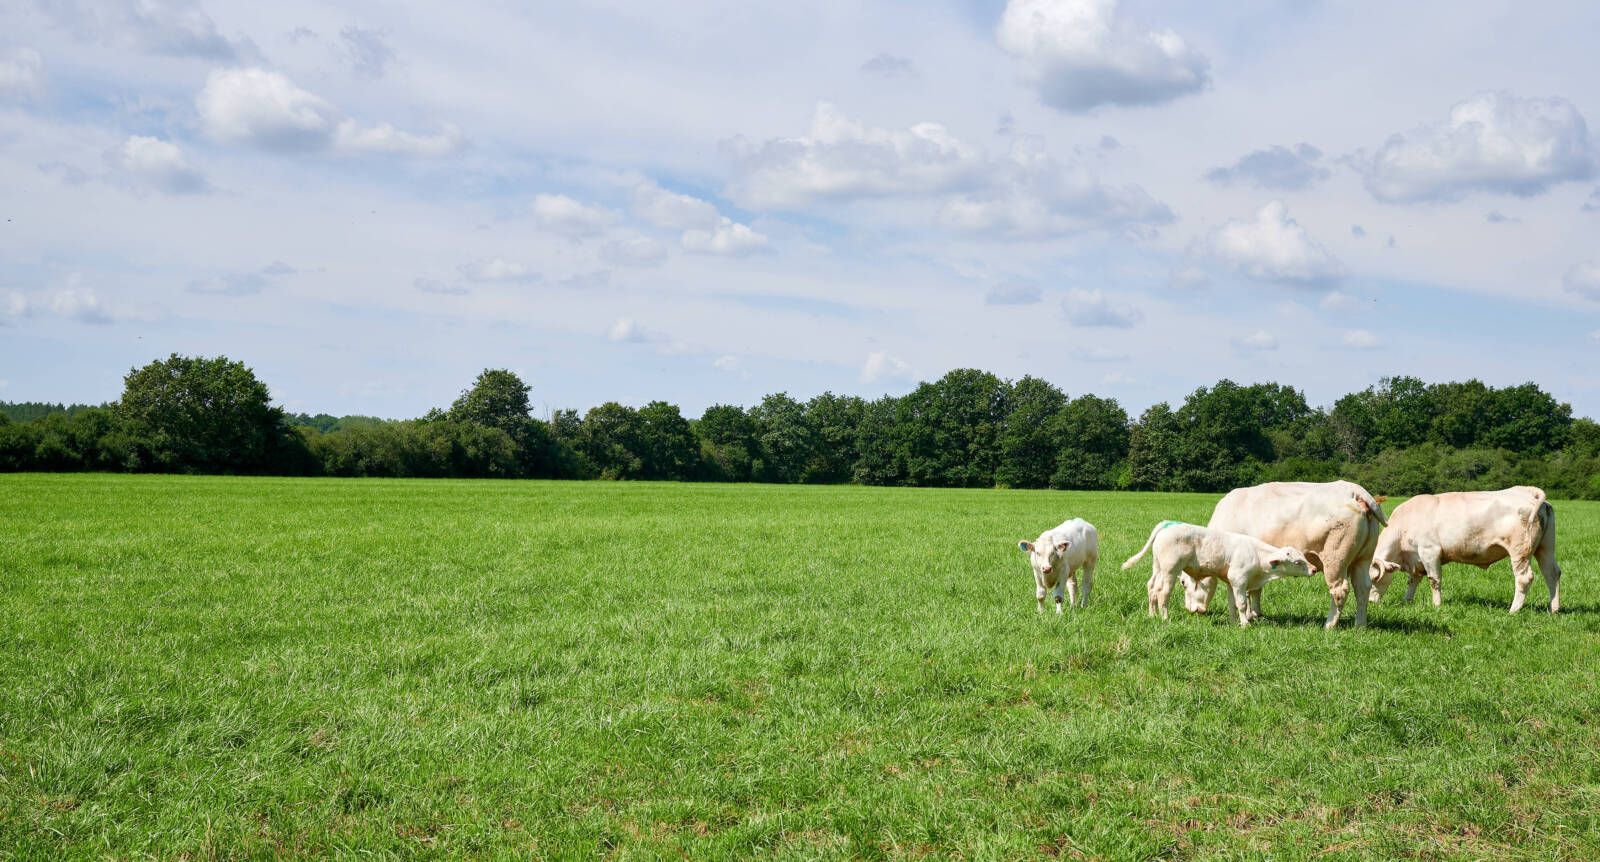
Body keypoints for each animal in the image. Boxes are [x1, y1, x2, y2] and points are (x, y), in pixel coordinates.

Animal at [1122, 520, 1314, 626]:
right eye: (1297, 562)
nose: (1314, 569)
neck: (1256, 555)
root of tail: (1166, 526)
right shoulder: (1239, 581)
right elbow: (1242, 603)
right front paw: (1245, 624)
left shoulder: (1230, 582)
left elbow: (1232, 603)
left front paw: (1234, 622)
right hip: (1170, 570)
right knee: (1163, 593)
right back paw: (1164, 618)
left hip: (1158, 567)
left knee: (1152, 588)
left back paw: (1152, 615)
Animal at [1182, 480, 1387, 628]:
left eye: (1183, 582)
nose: (1191, 610)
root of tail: (1354, 489)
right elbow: (1255, 590)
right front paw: (1256, 613)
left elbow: (1246, 592)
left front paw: (1248, 616)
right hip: (1363, 559)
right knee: (1362, 588)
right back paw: (1360, 625)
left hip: (1336, 560)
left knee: (1339, 590)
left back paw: (1329, 625)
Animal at [1369, 486, 1560, 614]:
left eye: (1372, 580)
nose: (1370, 602)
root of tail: (1528, 492)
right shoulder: (1416, 558)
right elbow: (1413, 581)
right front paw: (1406, 601)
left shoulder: (1429, 552)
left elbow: (1434, 580)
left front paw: (1436, 605)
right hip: (1545, 548)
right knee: (1552, 573)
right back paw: (1554, 609)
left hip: (1520, 551)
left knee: (1524, 578)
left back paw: (1513, 610)